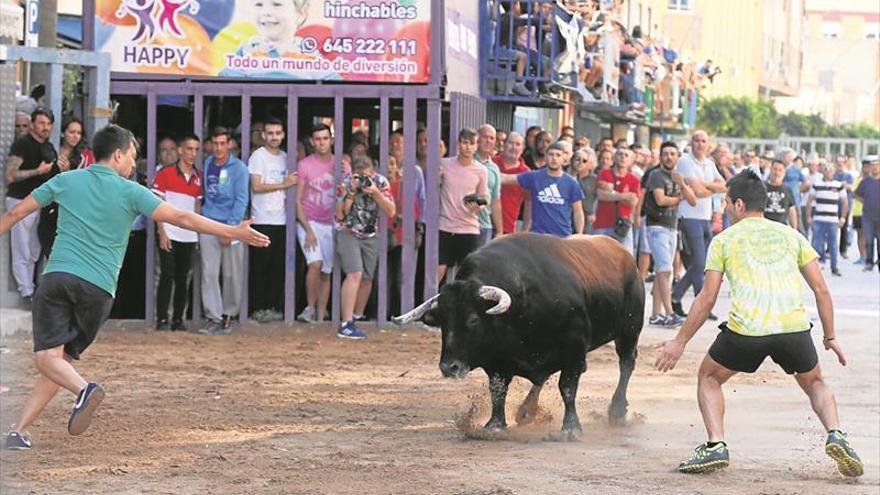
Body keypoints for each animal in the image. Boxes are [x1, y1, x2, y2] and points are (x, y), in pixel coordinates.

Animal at [396, 234, 644, 440]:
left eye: (473, 320)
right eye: (442, 322)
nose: (449, 367)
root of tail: (626, 256)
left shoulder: (573, 349)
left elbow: (567, 388)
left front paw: (571, 428)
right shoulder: (497, 360)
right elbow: (498, 390)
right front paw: (495, 425)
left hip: (629, 330)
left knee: (626, 364)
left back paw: (617, 411)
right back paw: (527, 411)